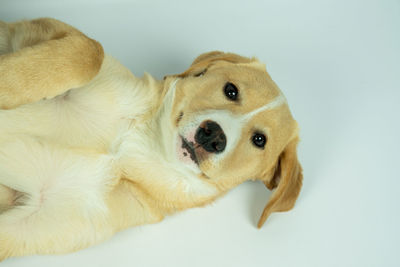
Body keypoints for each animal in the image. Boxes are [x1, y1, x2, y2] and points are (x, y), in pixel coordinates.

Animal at [0, 17, 302, 260]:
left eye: (260, 140)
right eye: (231, 90)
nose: (214, 135)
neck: (130, 146)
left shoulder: (33, 223)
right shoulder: (32, 30)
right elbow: (88, 51)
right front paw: (7, 84)